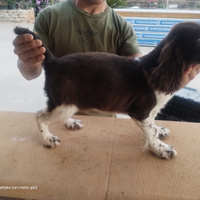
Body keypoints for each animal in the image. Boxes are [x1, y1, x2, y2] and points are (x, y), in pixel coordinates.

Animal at [14, 21, 200, 159]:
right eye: (197, 39)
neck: (154, 69)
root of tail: (54, 61)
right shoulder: (141, 112)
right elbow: (151, 133)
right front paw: (162, 150)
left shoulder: (151, 112)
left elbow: (153, 126)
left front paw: (160, 131)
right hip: (65, 103)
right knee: (40, 116)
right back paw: (47, 139)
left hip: (67, 103)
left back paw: (70, 122)